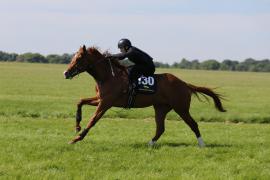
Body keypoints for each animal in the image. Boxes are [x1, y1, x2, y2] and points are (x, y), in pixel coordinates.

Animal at [63, 45, 226, 148]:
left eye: (78, 58)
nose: (66, 73)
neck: (108, 76)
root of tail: (185, 84)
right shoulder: (100, 99)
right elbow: (80, 101)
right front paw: (77, 126)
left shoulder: (105, 103)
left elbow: (93, 120)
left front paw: (77, 138)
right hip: (161, 108)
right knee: (160, 128)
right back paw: (150, 144)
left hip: (181, 108)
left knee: (193, 124)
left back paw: (202, 144)